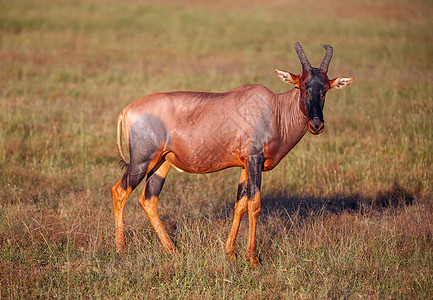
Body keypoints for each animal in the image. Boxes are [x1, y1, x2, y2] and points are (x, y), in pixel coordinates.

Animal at [109, 41, 352, 264]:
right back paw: (121, 251)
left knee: (148, 199)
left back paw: (173, 251)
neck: (273, 108)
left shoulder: (245, 165)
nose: (316, 125)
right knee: (119, 191)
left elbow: (241, 204)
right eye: (302, 86)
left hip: (162, 163)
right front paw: (253, 259)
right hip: (142, 160)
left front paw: (231, 254)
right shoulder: (254, 160)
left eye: (326, 89)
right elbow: (255, 204)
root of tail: (127, 110)